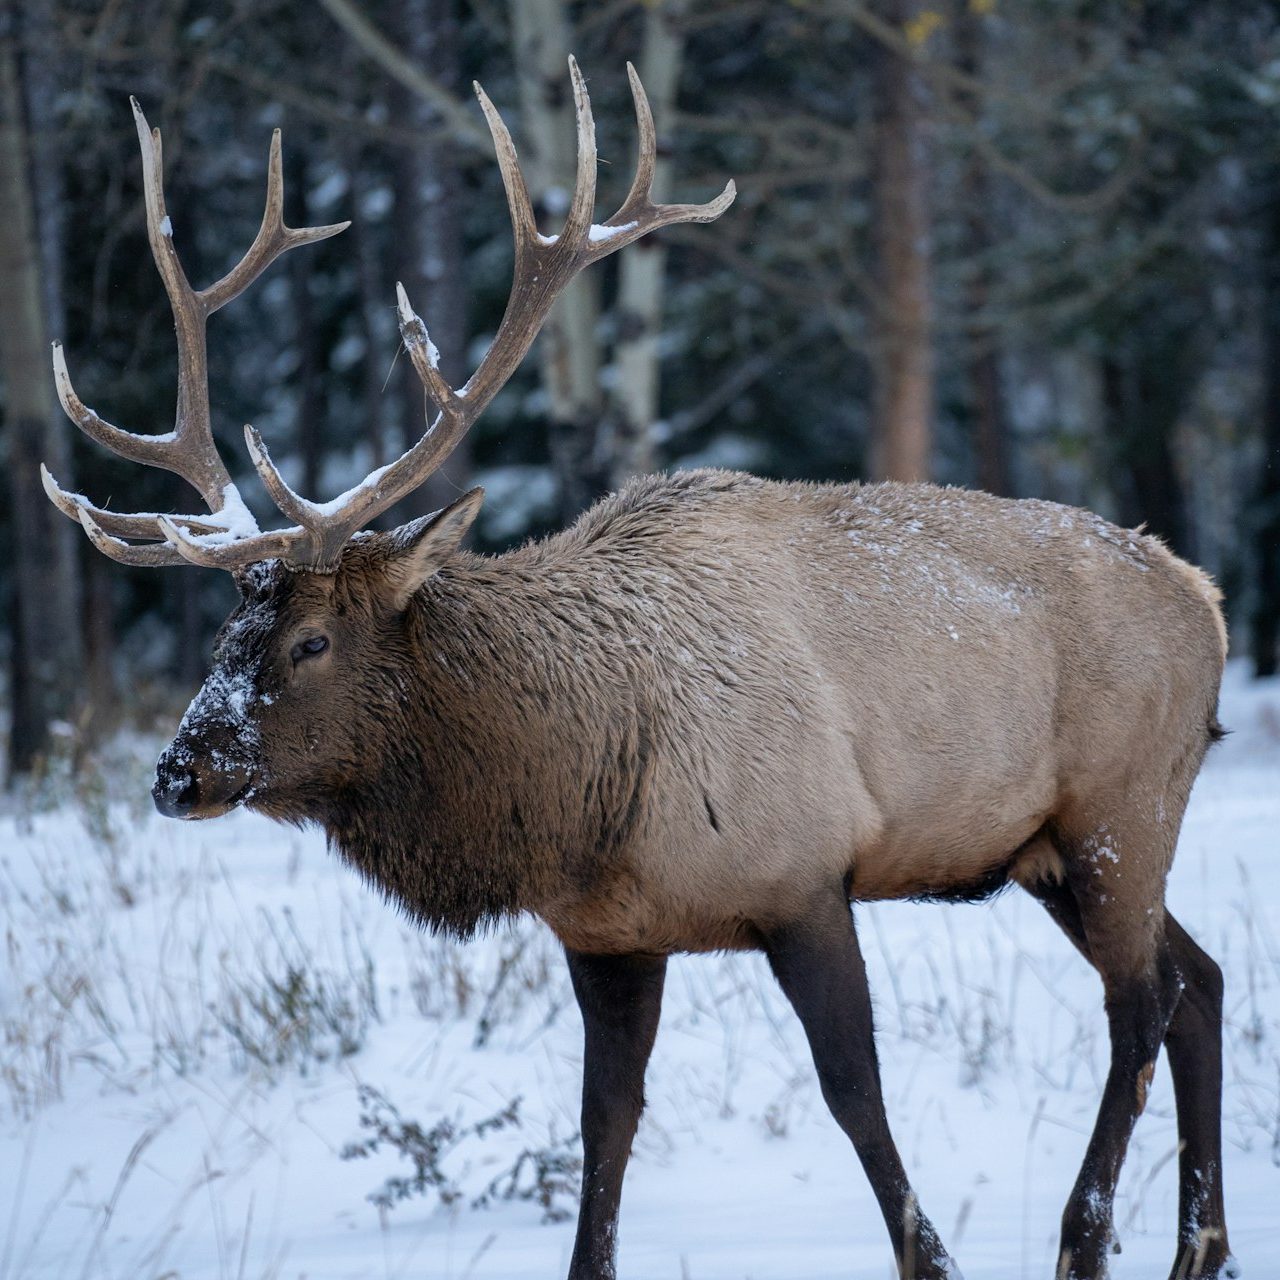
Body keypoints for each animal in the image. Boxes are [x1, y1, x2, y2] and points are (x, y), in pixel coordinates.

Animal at [41, 59, 1235, 1280]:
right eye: (224, 636)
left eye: (310, 640)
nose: (177, 773)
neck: (576, 791)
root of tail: (1205, 597)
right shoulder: (606, 935)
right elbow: (603, 1120)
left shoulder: (803, 873)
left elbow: (854, 1092)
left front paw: (935, 1258)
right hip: (1047, 848)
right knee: (1200, 981)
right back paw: (1199, 1241)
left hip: (1119, 807)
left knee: (1141, 1001)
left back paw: (1087, 1236)